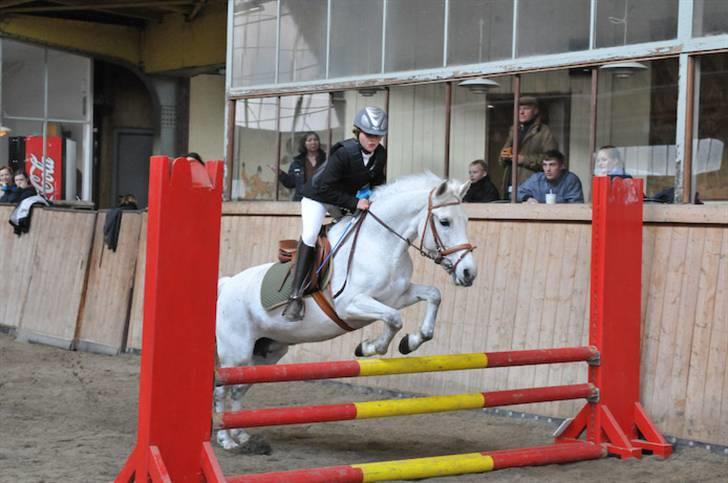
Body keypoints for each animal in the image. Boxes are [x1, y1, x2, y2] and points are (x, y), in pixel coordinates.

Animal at [216, 172, 478, 452]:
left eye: (466, 220)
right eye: (444, 221)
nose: (468, 273)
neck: (380, 243)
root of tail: (226, 285)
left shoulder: (397, 295)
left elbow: (433, 296)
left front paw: (411, 341)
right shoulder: (351, 304)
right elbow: (394, 319)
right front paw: (370, 347)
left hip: (267, 354)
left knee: (238, 389)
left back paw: (241, 435)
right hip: (237, 354)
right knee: (223, 388)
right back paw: (226, 440)